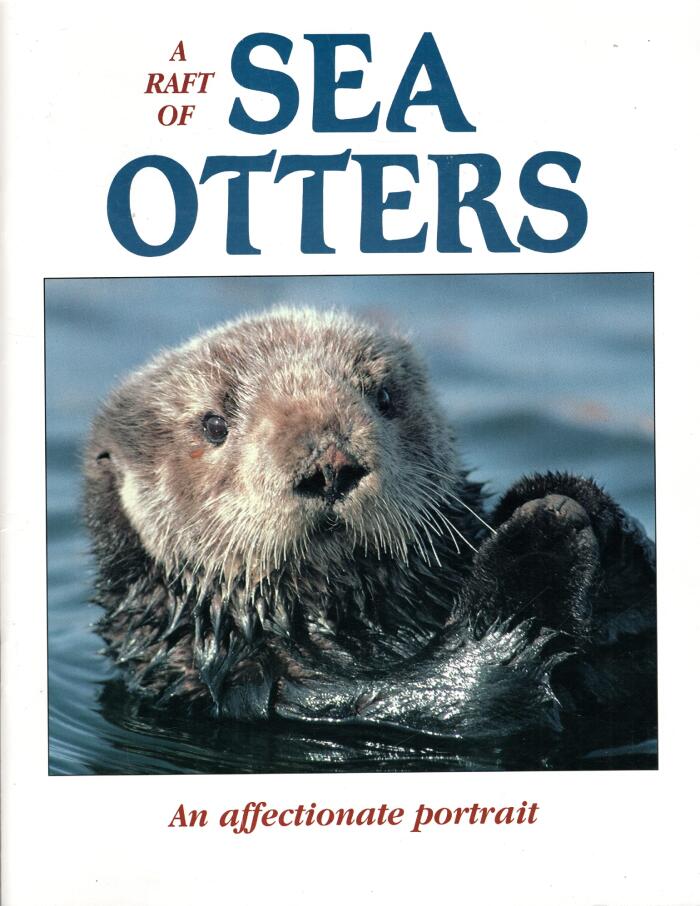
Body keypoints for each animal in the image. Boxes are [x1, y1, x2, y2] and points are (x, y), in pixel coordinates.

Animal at [84, 307, 656, 753]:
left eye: (383, 397)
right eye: (213, 425)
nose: (329, 466)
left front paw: (570, 501)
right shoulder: (263, 691)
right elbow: (461, 703)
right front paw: (540, 540)